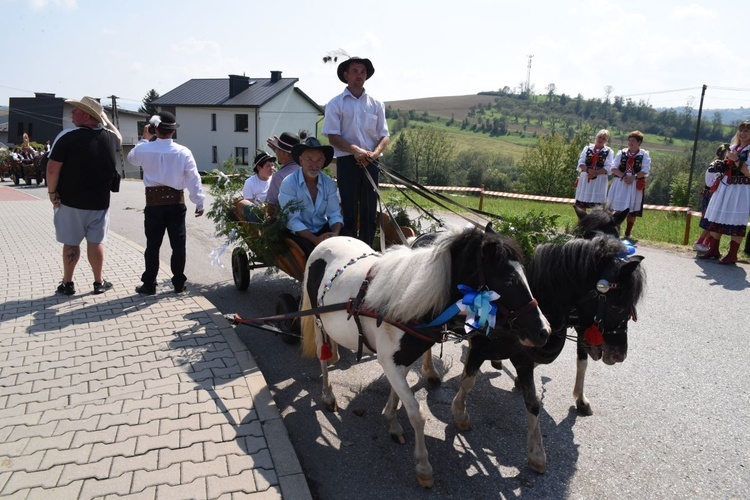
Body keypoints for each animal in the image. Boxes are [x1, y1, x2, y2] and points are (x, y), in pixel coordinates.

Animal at [300, 229, 552, 486]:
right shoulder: (388, 361)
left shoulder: (403, 359)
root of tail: (329, 240)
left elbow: (398, 394)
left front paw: (391, 420)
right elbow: (416, 413)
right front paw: (423, 466)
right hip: (318, 323)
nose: (544, 331)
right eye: (508, 281)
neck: (407, 303)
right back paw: (328, 393)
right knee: (322, 357)